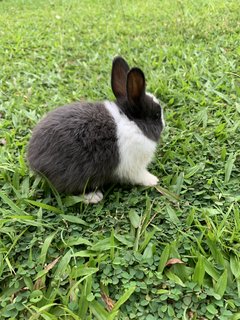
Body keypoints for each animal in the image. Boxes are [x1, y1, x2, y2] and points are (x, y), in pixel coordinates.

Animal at [27, 55, 164, 202]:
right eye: (156, 116)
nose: (164, 123)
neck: (131, 121)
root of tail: (34, 160)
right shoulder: (133, 166)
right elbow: (139, 176)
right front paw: (153, 180)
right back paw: (94, 197)